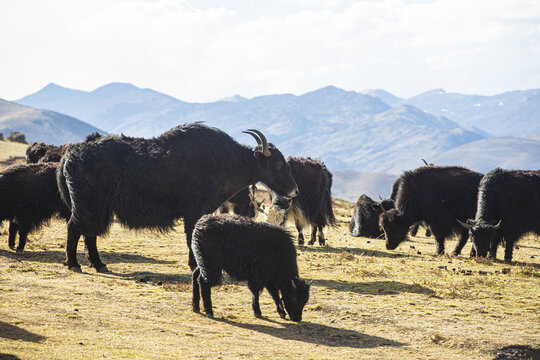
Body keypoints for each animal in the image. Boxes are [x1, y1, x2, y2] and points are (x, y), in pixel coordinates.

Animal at [57, 124, 298, 272]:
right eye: (278, 164)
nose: (294, 191)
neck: (226, 161)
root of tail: (70, 154)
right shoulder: (193, 211)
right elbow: (191, 236)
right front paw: (195, 265)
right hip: (88, 205)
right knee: (75, 228)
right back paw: (73, 264)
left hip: (98, 208)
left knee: (89, 234)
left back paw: (99, 265)